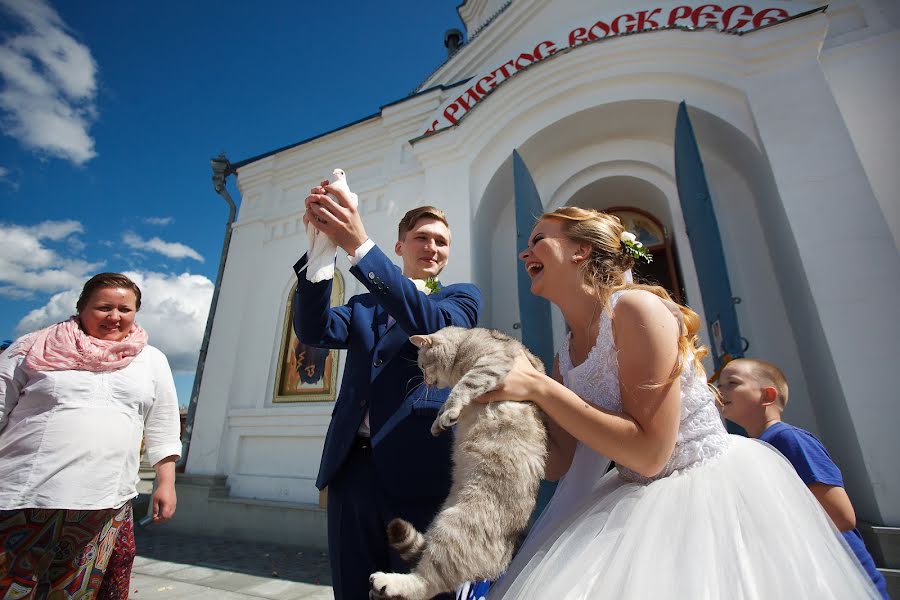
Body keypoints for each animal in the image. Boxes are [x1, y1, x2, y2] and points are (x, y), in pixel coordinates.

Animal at [368, 328, 548, 600]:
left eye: (422, 365)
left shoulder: (490, 362)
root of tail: (501, 563)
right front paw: (439, 421)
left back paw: (387, 582)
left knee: (426, 584)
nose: (425, 380)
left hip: (453, 527)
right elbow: (448, 402)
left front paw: (448, 412)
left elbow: (461, 389)